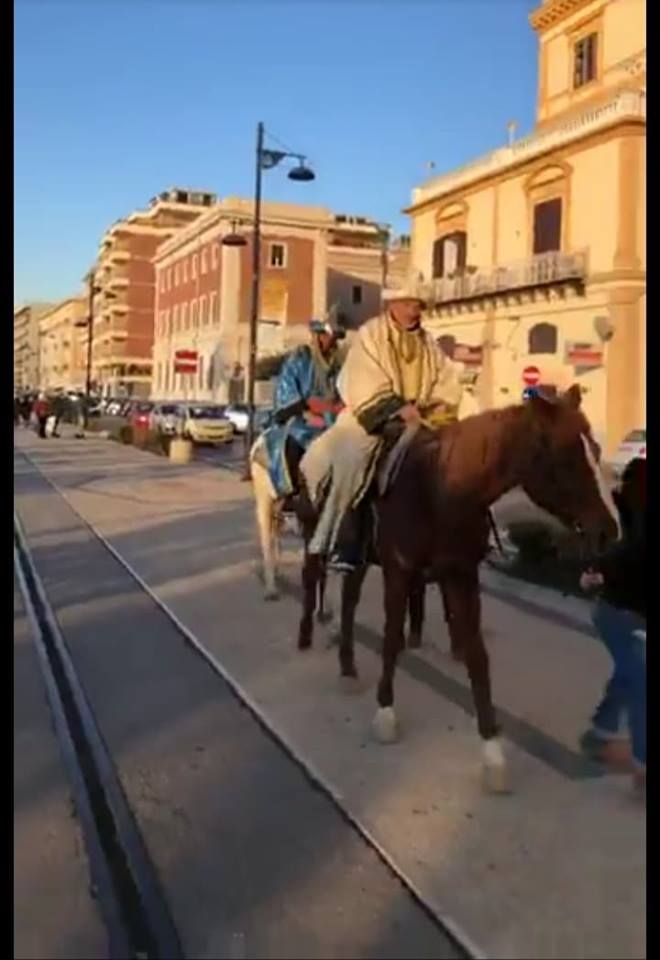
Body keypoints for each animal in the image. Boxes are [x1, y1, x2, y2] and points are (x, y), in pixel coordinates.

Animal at [293, 386, 621, 792]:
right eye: (566, 456)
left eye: (596, 448)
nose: (610, 531)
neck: (441, 487)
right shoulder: (399, 572)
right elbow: (390, 639)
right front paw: (385, 713)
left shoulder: (461, 575)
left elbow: (477, 657)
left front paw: (492, 753)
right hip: (316, 535)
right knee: (315, 582)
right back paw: (308, 637)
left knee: (350, 602)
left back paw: (348, 669)